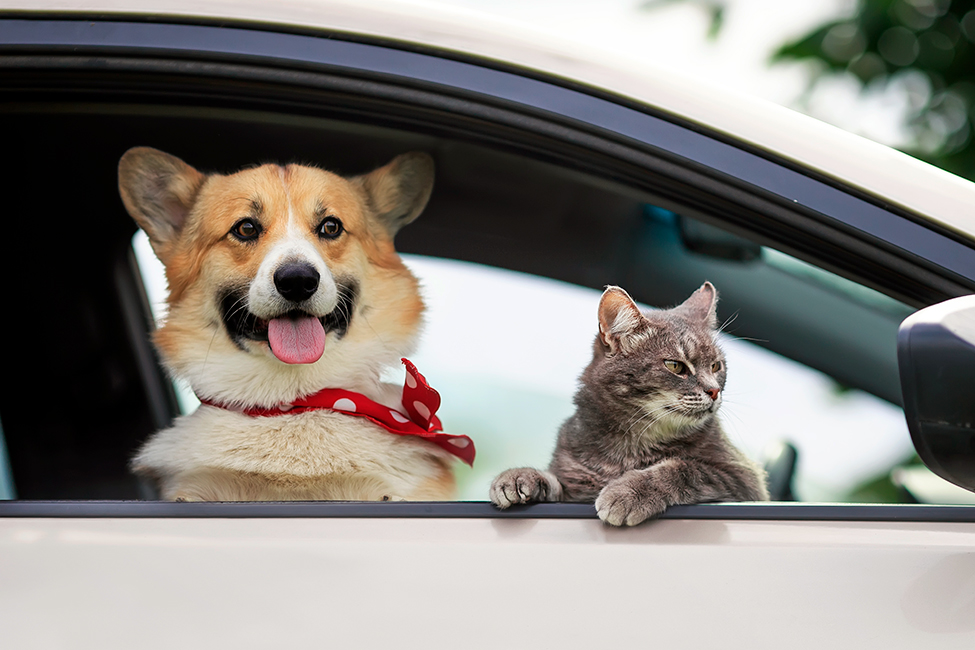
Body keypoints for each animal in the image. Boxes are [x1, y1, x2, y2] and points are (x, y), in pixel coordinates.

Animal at [492, 280, 768, 524]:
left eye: (716, 366)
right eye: (675, 366)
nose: (714, 390)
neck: (631, 442)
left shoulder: (743, 478)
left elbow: (685, 468)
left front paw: (629, 492)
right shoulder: (574, 484)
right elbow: (554, 482)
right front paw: (520, 477)